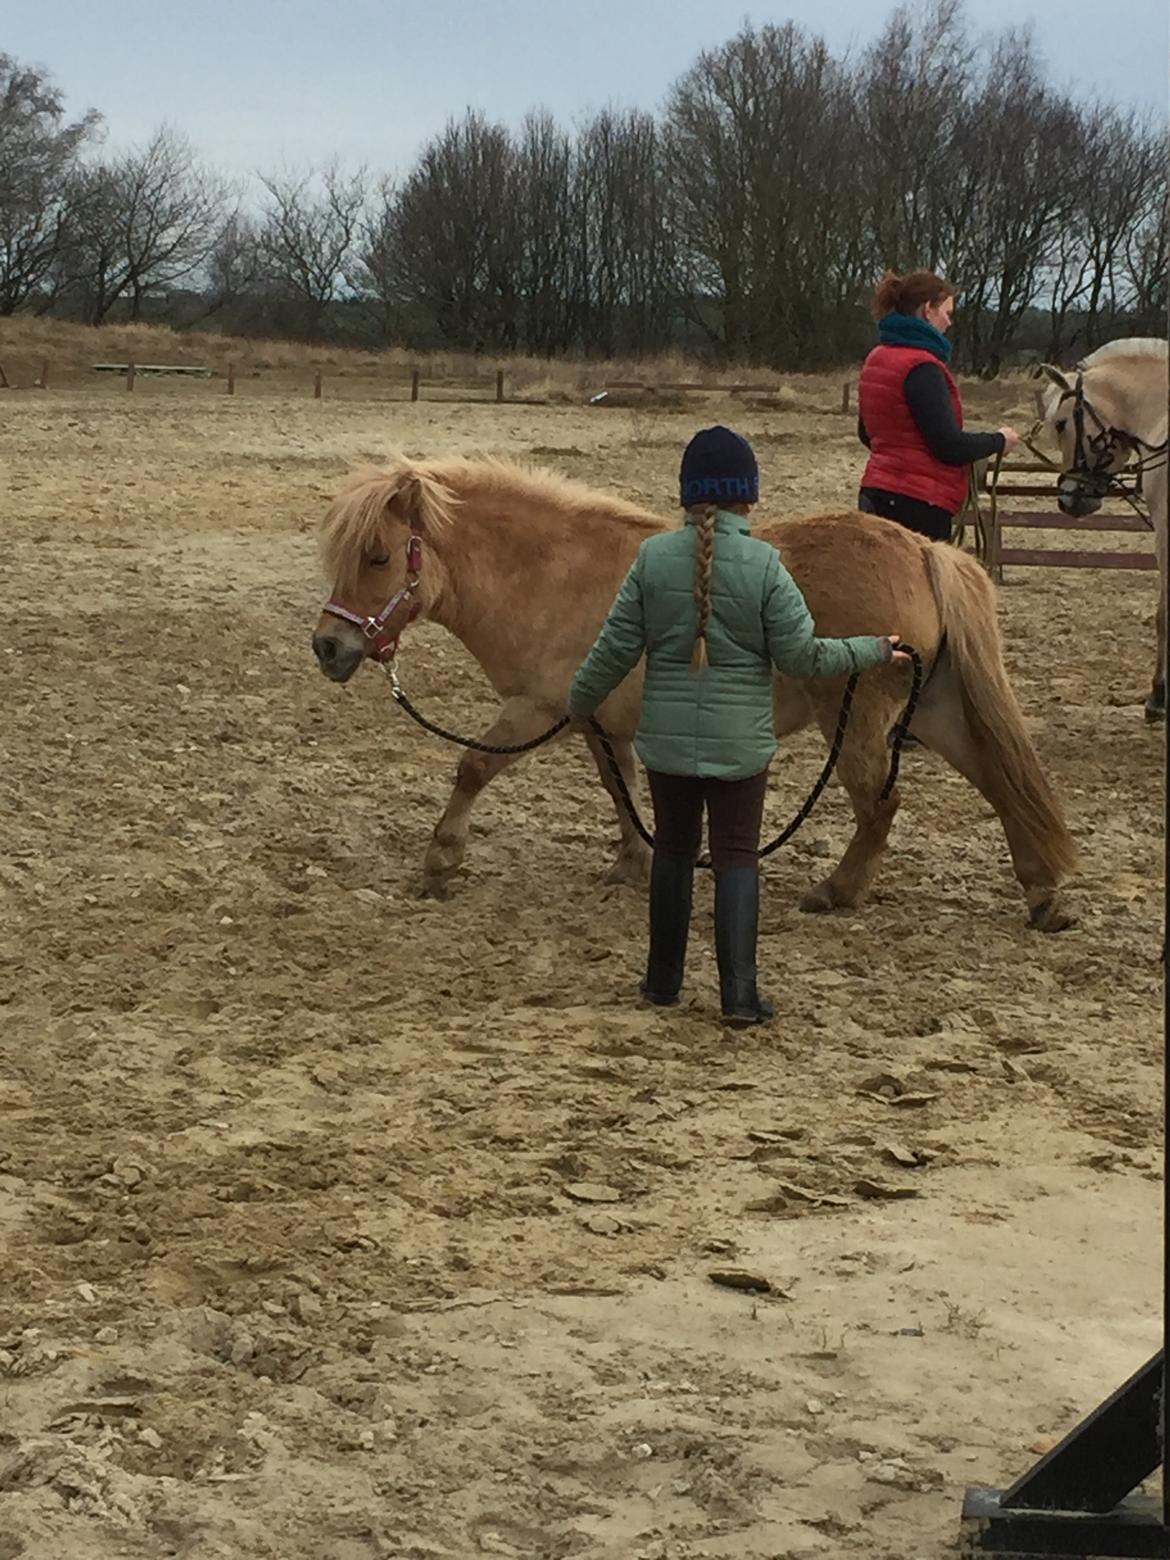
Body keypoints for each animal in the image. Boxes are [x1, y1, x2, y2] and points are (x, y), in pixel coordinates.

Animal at [313, 455, 1079, 929]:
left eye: (377, 557)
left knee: (882, 806)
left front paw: (440, 861)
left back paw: (836, 892)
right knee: (999, 782)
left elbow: (473, 767)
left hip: (859, 719)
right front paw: (633, 862)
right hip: (936, 708)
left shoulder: (540, 708)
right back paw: (1042, 893)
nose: (328, 647)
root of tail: (923, 550)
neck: (549, 573)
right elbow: (619, 789)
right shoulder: (597, 721)